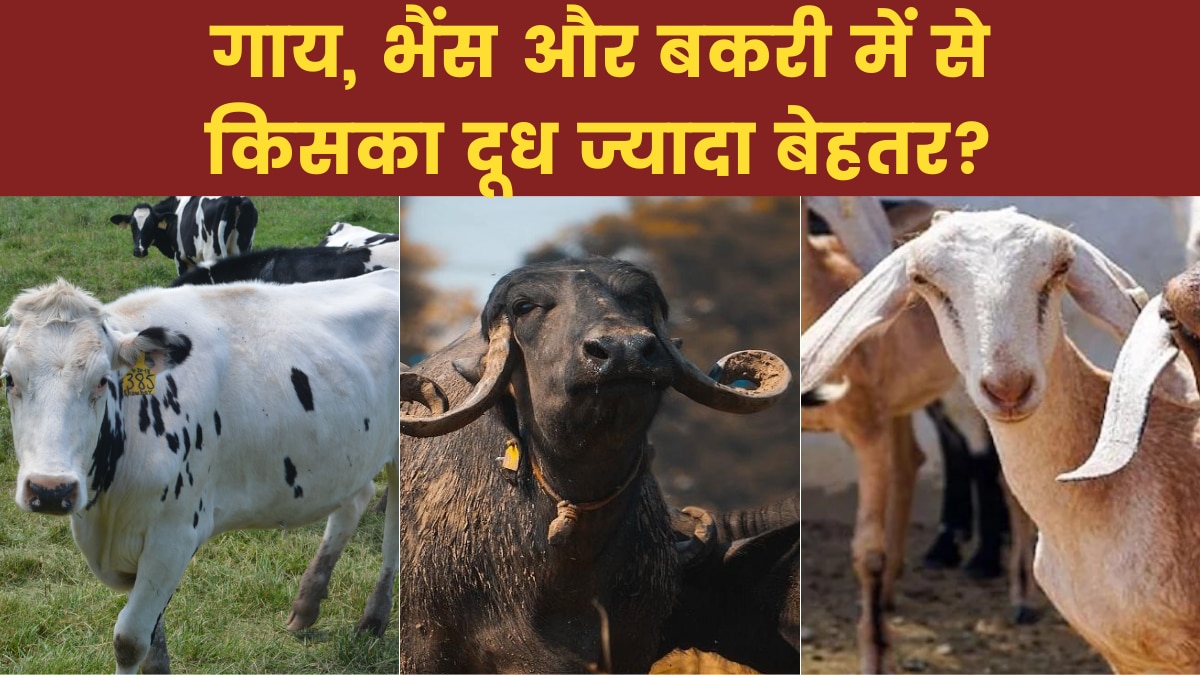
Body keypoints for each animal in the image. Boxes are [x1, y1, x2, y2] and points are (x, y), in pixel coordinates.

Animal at [0, 270, 399, 673]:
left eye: (101, 380)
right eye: (8, 379)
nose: (50, 489)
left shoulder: (174, 536)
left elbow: (130, 641)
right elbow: (152, 644)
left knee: (394, 526)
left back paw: (373, 619)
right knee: (354, 502)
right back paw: (307, 604)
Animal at [109, 196, 258, 276]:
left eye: (151, 225)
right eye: (132, 225)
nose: (139, 250)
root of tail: (233, 199)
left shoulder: (180, 258)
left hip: (213, 254)